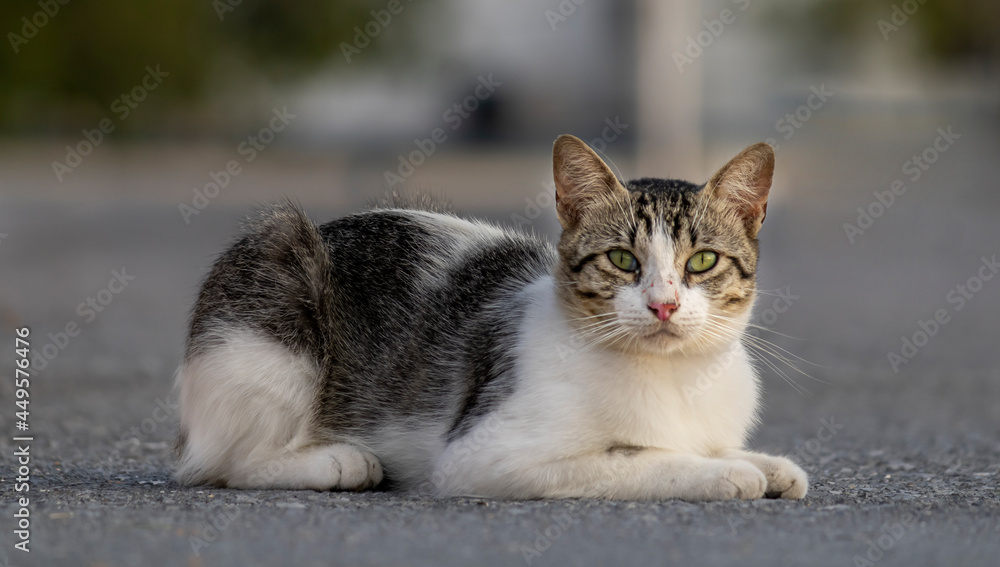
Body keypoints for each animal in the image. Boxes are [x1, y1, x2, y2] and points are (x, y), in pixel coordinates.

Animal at [174, 134, 804, 502]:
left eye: (702, 261)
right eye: (623, 260)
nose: (663, 304)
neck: (673, 378)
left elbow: (711, 448)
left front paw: (766, 464)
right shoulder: (484, 457)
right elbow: (637, 461)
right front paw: (725, 474)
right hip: (276, 282)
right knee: (228, 465)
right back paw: (338, 461)